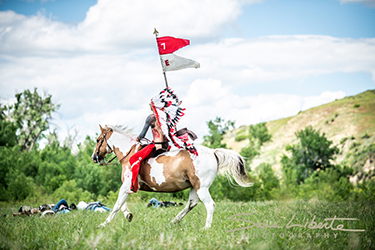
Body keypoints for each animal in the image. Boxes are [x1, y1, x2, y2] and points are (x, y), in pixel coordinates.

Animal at [92, 124, 254, 229]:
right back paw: (173, 222)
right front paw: (128, 215)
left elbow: (117, 205)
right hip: (194, 186)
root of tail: (213, 152)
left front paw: (103, 224)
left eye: (98, 140)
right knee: (191, 204)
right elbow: (121, 204)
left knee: (210, 205)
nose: (94, 157)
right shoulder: (128, 186)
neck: (130, 152)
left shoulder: (127, 185)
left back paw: (206, 228)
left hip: (201, 187)